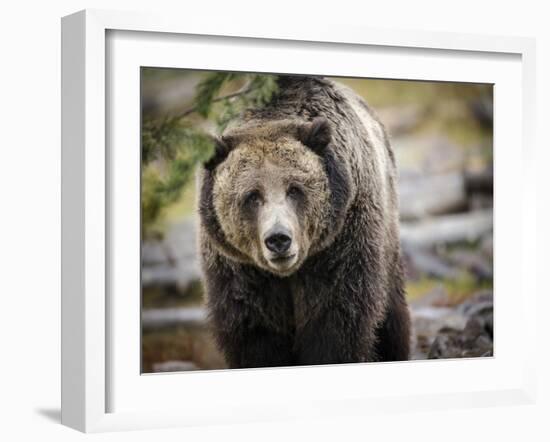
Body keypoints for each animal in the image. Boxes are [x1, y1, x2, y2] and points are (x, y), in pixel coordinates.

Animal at [197, 74, 410, 368]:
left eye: (295, 189)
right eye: (252, 196)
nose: (278, 239)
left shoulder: (340, 246)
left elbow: (336, 323)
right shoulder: (239, 269)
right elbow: (255, 333)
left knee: (392, 318)